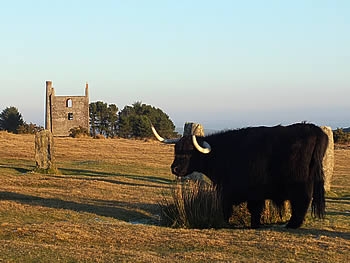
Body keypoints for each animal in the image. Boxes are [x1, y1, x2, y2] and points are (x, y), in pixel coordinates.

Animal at [152, 124, 328, 229]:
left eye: (190, 153)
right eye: (176, 150)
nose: (174, 168)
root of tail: (314, 129)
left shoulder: (233, 192)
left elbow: (232, 209)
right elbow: (254, 211)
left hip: (300, 186)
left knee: (301, 202)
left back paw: (292, 225)